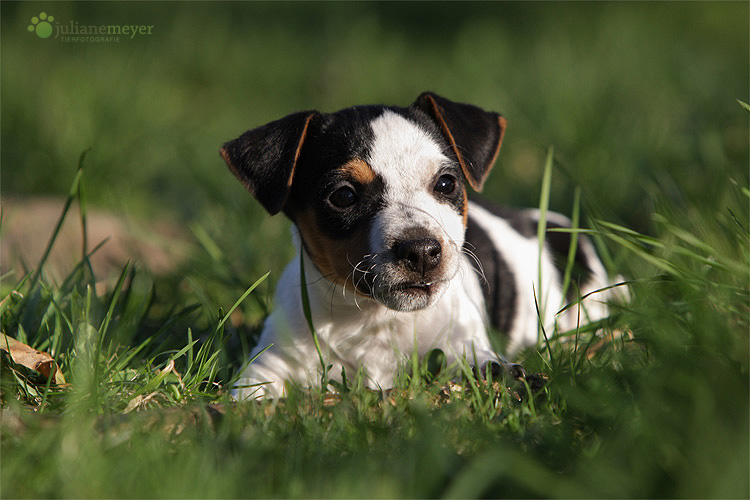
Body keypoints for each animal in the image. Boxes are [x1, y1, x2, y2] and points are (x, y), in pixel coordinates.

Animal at [219, 92, 616, 400]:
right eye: (344, 196)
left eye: (445, 183)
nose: (422, 251)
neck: (376, 319)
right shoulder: (271, 364)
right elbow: (250, 399)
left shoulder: (464, 345)